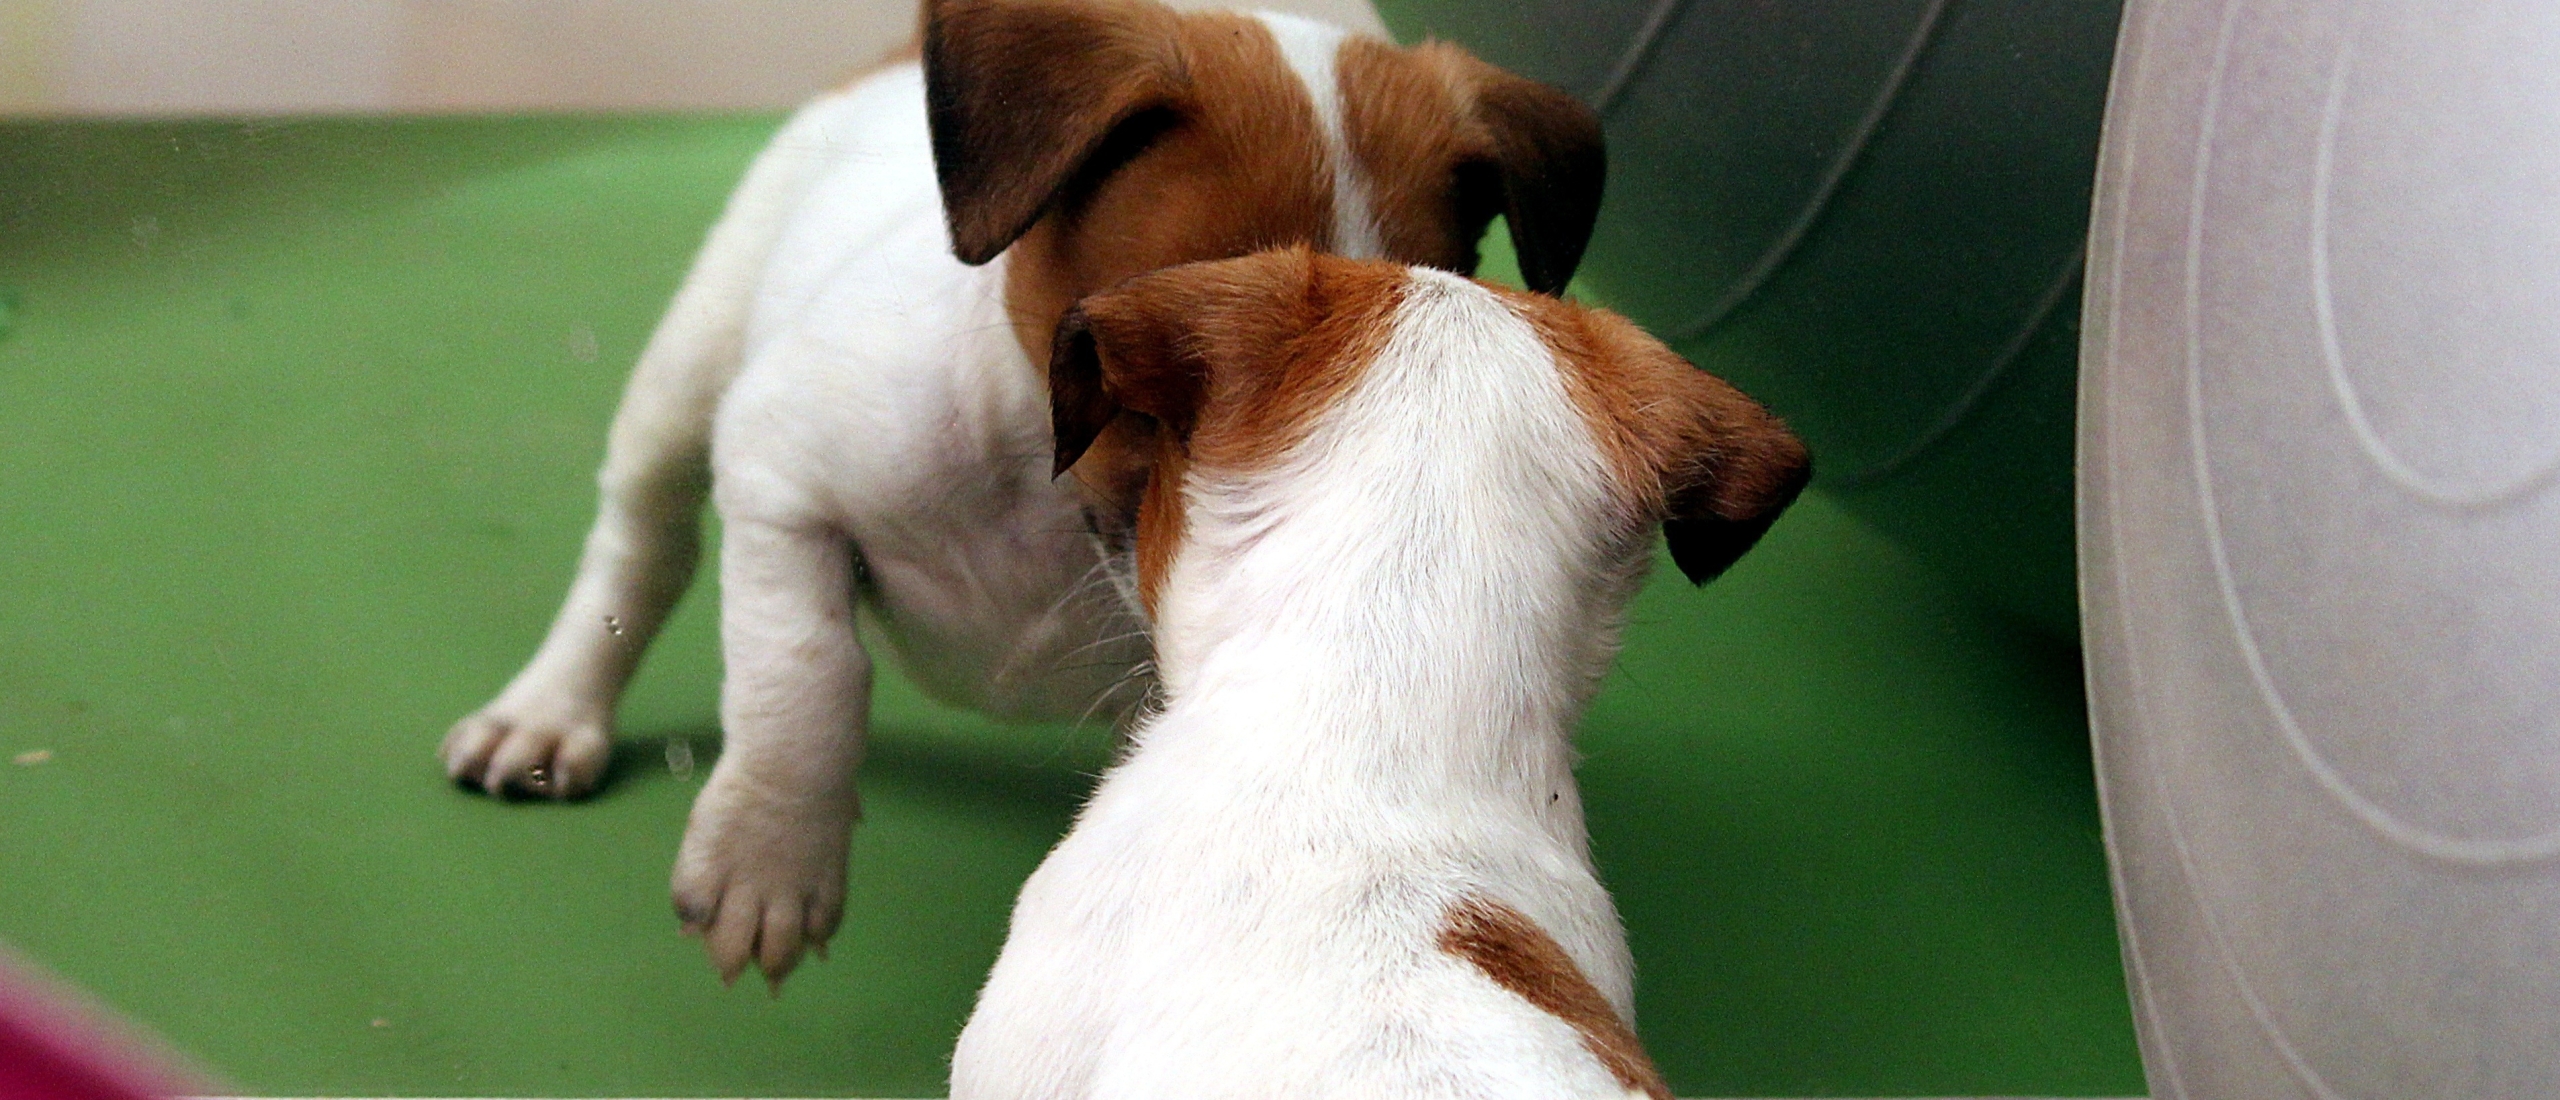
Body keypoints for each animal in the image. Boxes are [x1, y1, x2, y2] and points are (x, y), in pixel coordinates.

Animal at [437, 0, 1597, 987]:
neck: (1045, 498)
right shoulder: (779, 464)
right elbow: (806, 673)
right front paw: (768, 859)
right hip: (690, 372)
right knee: (643, 544)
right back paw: (550, 710)